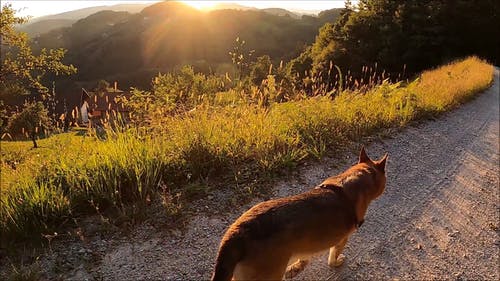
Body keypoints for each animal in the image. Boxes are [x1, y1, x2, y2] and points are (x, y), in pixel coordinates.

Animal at [211, 147, 386, 280]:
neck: (357, 178)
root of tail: (238, 233)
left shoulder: (307, 243)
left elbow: (305, 256)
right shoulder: (342, 239)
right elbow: (333, 256)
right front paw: (335, 262)